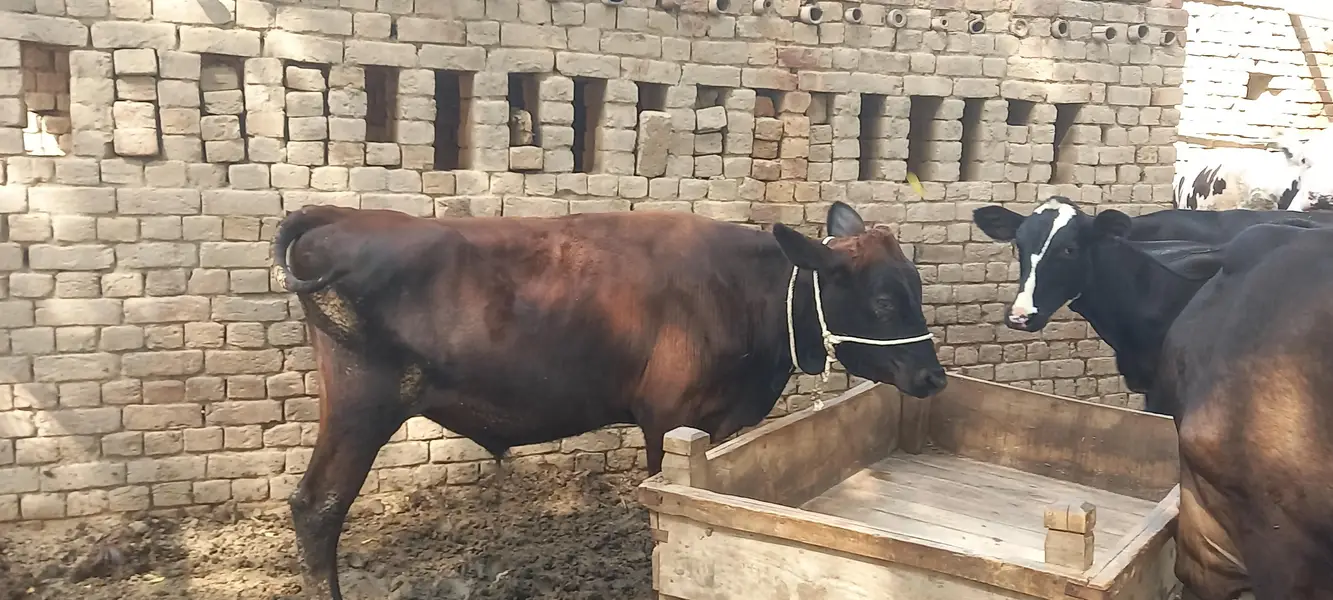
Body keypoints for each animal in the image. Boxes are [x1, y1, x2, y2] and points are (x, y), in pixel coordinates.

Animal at [271, 201, 947, 599]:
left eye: (915, 288)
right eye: (885, 300)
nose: (934, 378)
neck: (743, 293)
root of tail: (340, 215)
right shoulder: (669, 420)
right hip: (362, 403)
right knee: (318, 507)